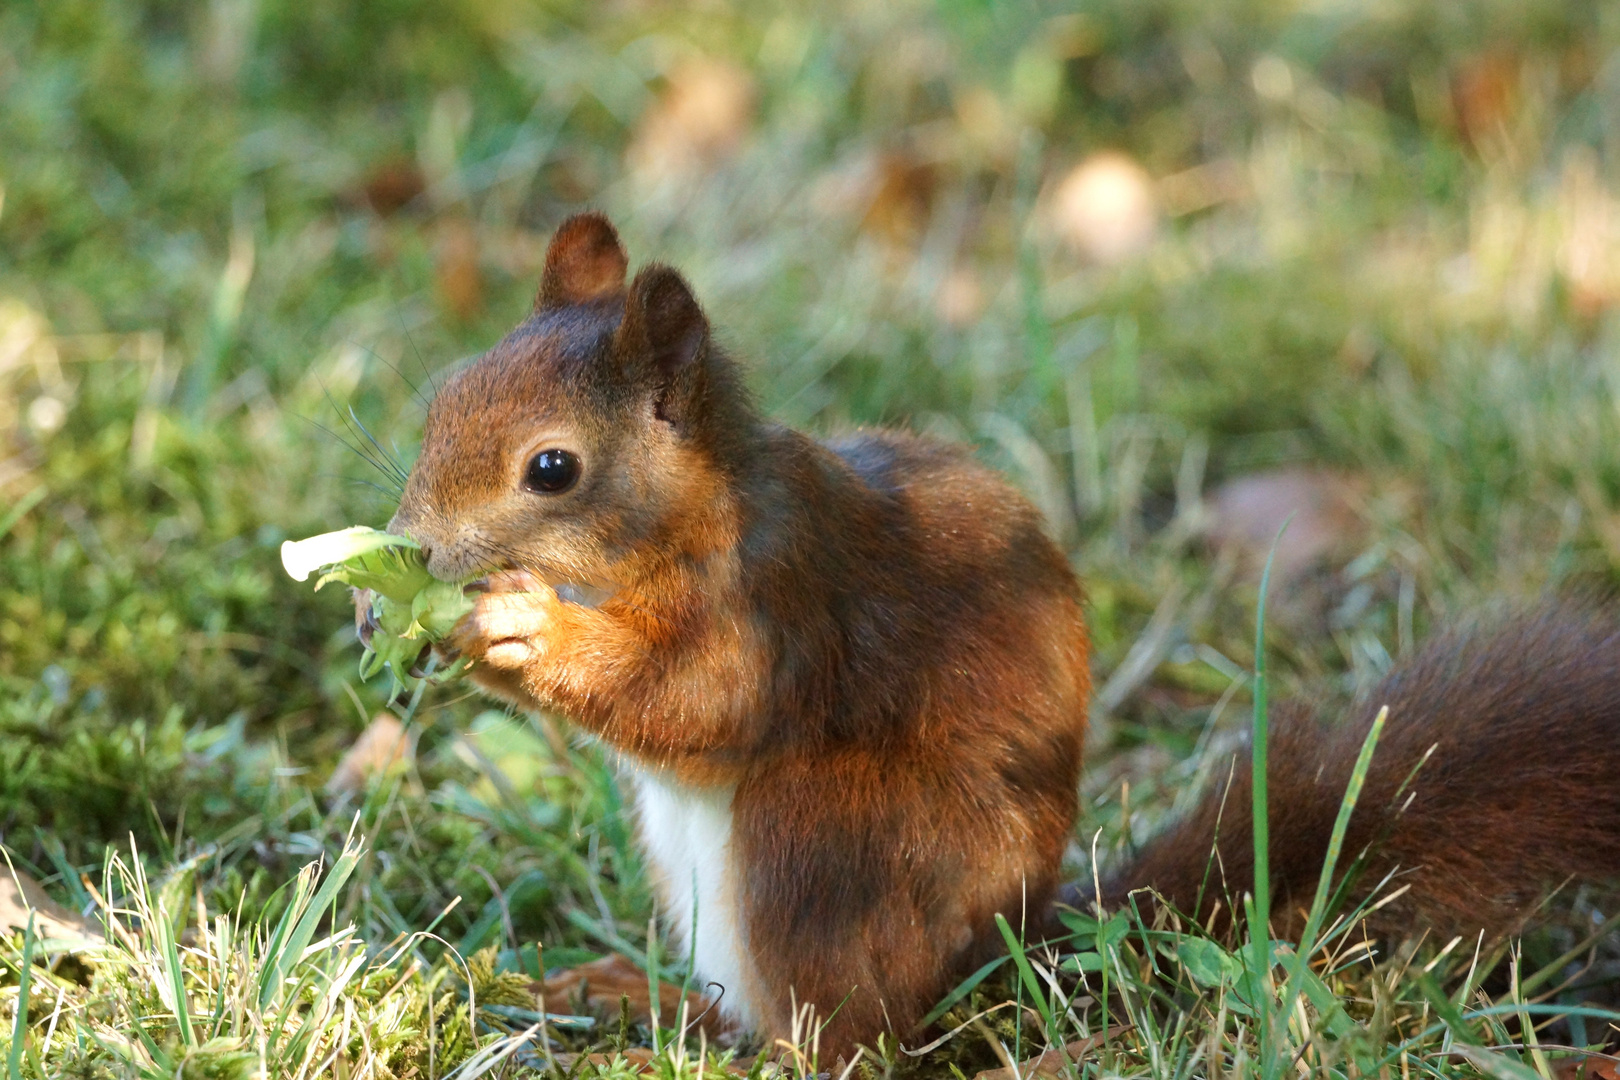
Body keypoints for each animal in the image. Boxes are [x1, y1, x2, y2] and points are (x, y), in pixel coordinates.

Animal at [367, 215, 1620, 1062]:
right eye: (441, 398)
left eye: (552, 468)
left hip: (825, 850)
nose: (412, 547)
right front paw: (395, 612)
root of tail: (1006, 955)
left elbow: (700, 700)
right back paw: (640, 1000)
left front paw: (512, 626)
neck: (681, 521)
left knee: (845, 1041)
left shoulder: (780, 600)